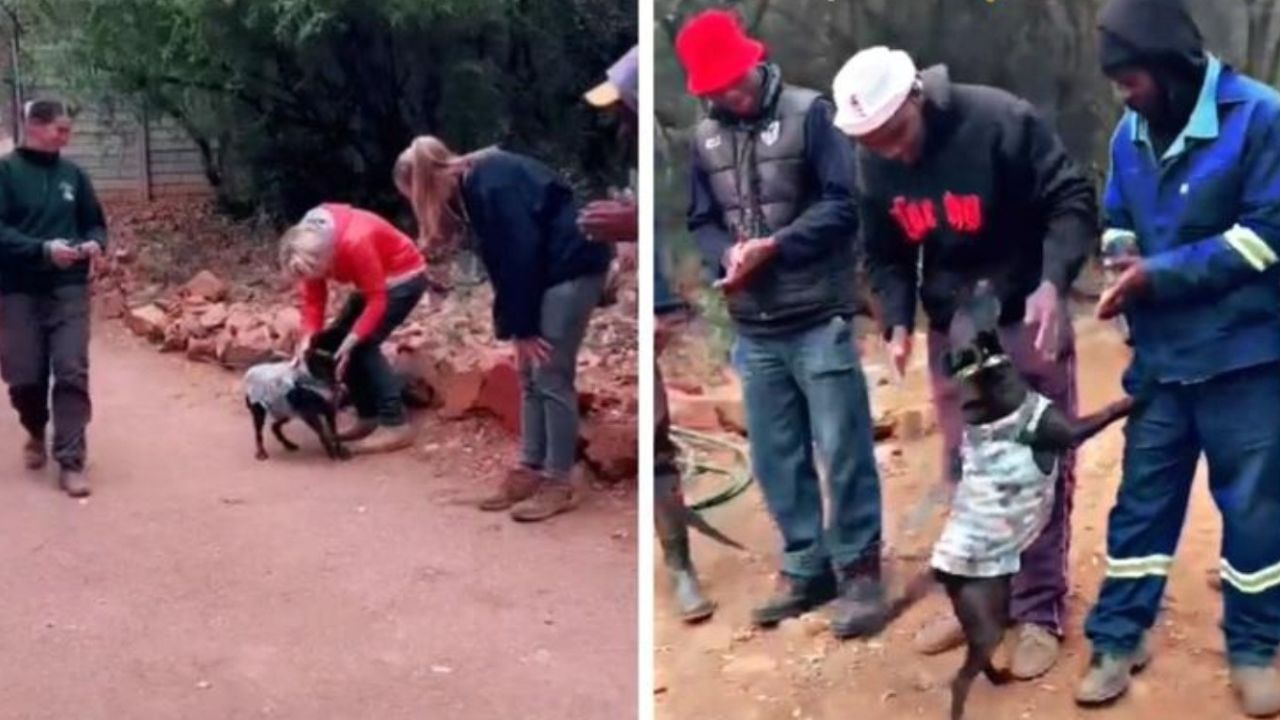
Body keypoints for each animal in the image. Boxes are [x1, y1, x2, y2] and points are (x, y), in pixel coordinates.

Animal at [880, 279, 1131, 717]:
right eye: (976, 308)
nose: (981, 281)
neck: (982, 372)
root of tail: (941, 571)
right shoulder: (1070, 431)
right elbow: (1107, 412)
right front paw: (1136, 398)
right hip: (988, 618)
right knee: (961, 678)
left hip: (980, 612)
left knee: (975, 665)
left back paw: (1001, 677)